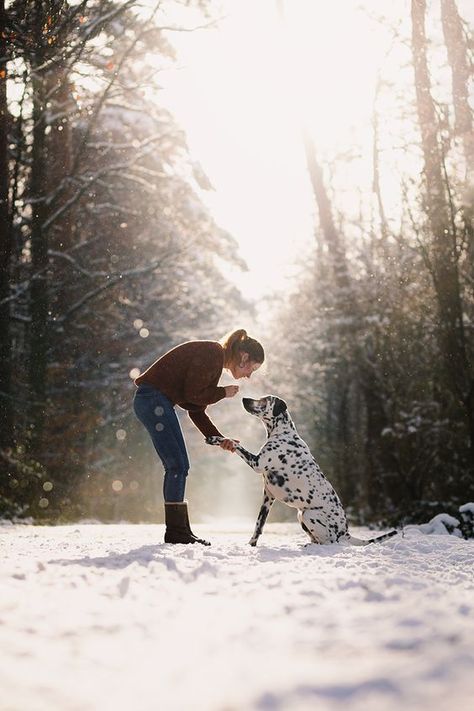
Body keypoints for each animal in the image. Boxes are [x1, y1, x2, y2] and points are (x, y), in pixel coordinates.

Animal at [206, 398, 396, 548]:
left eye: (264, 400)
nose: (245, 399)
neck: (282, 432)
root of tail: (346, 532)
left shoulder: (257, 463)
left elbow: (235, 444)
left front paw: (216, 439)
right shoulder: (268, 496)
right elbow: (259, 525)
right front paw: (250, 545)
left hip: (308, 514)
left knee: (329, 542)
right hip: (301, 516)